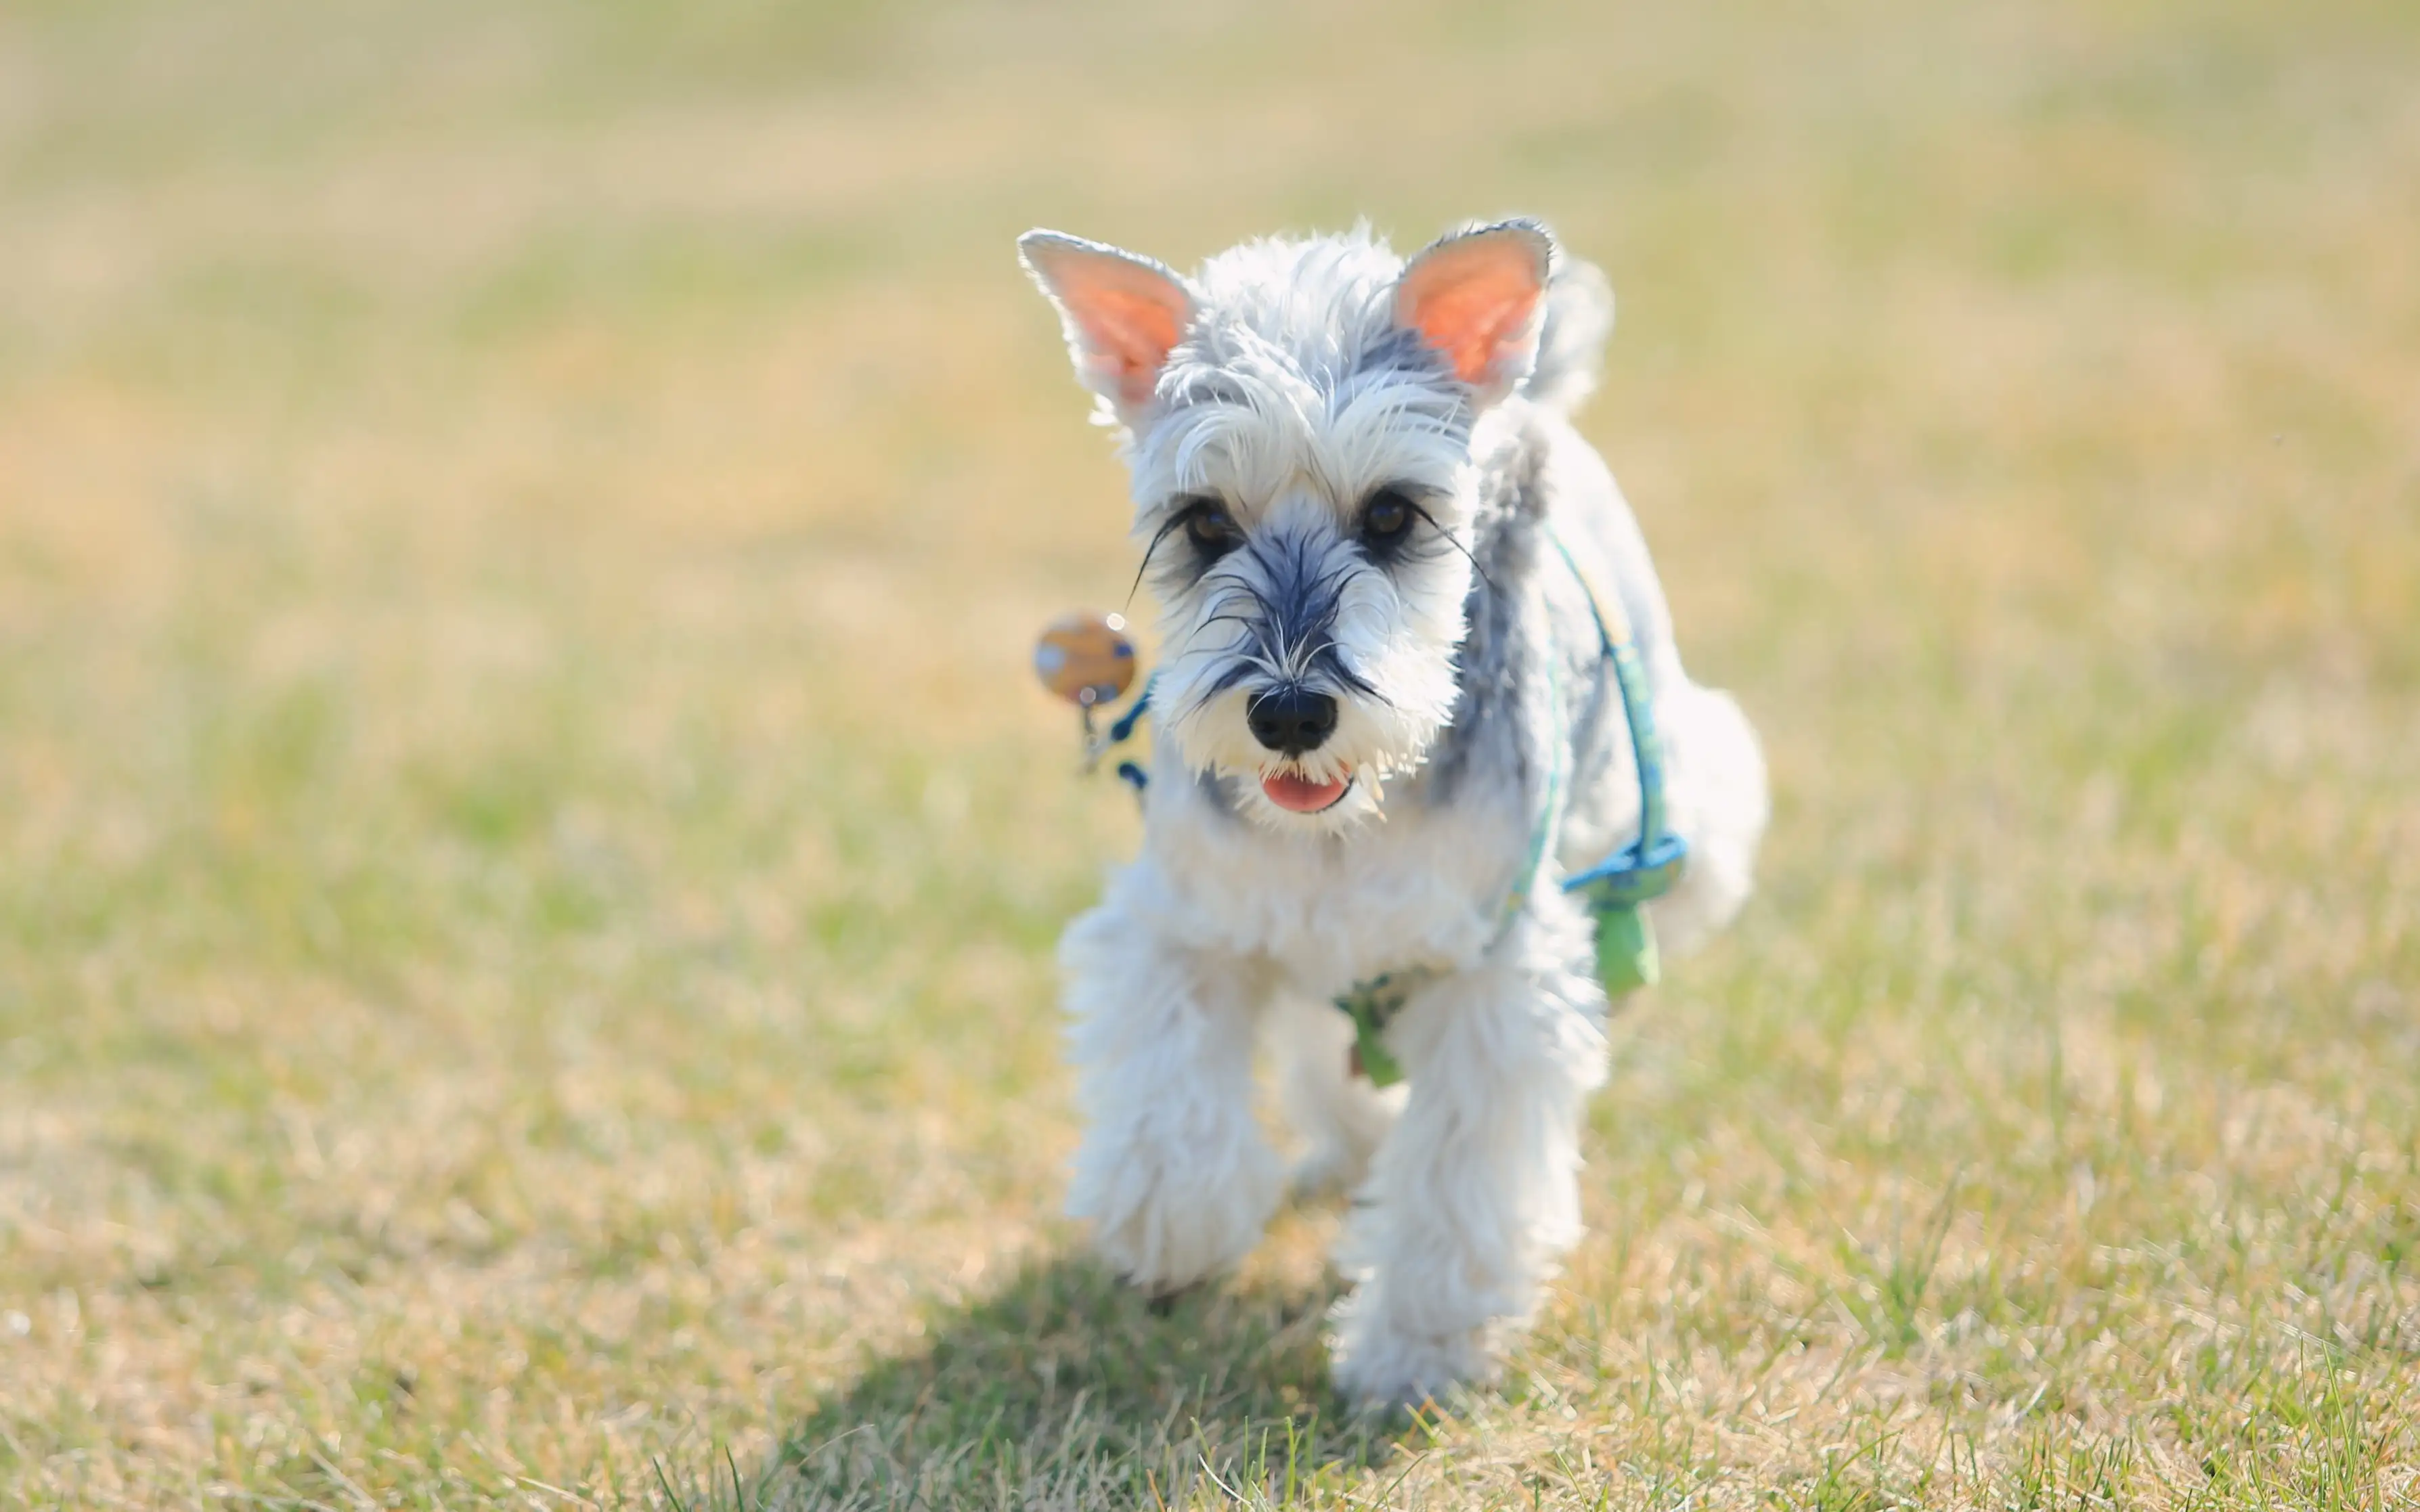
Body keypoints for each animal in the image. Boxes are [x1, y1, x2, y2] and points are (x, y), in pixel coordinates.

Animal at [1011, 215, 1771, 1403]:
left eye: (1391, 514)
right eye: (1200, 522)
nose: (1286, 710)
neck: (1341, 830)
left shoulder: (1491, 973)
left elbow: (1457, 1179)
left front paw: (1415, 1352)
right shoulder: (1182, 922)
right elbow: (1168, 1109)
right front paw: (1171, 1233)